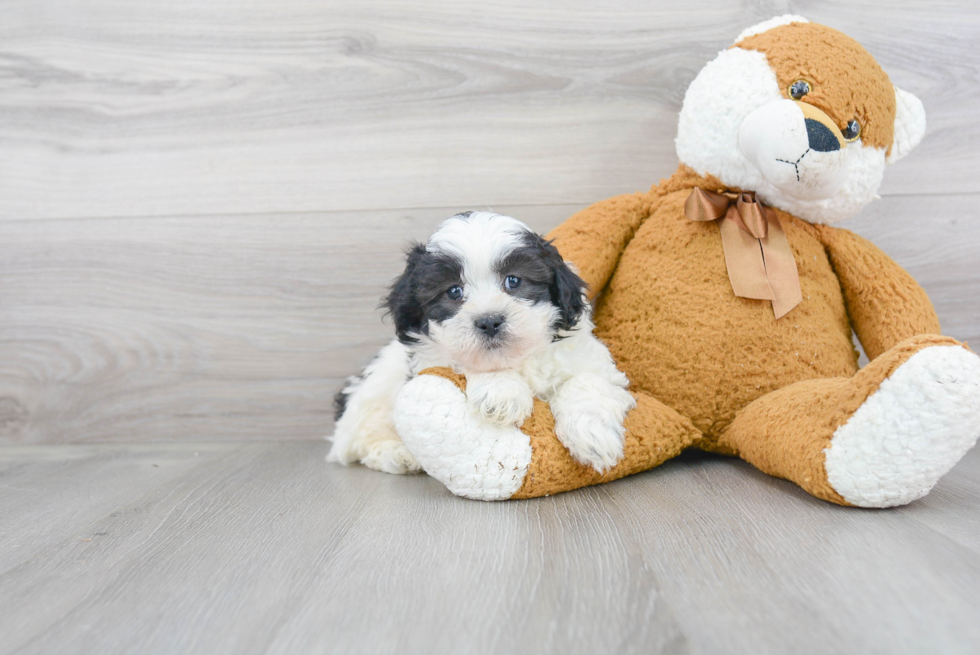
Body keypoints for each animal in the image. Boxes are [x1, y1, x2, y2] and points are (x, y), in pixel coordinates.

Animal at [328, 215, 636, 476]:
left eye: (514, 281)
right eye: (454, 291)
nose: (489, 321)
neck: (517, 360)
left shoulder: (591, 362)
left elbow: (586, 381)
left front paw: (592, 435)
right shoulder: (430, 359)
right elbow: (466, 362)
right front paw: (500, 393)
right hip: (373, 392)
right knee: (357, 440)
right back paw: (396, 454)